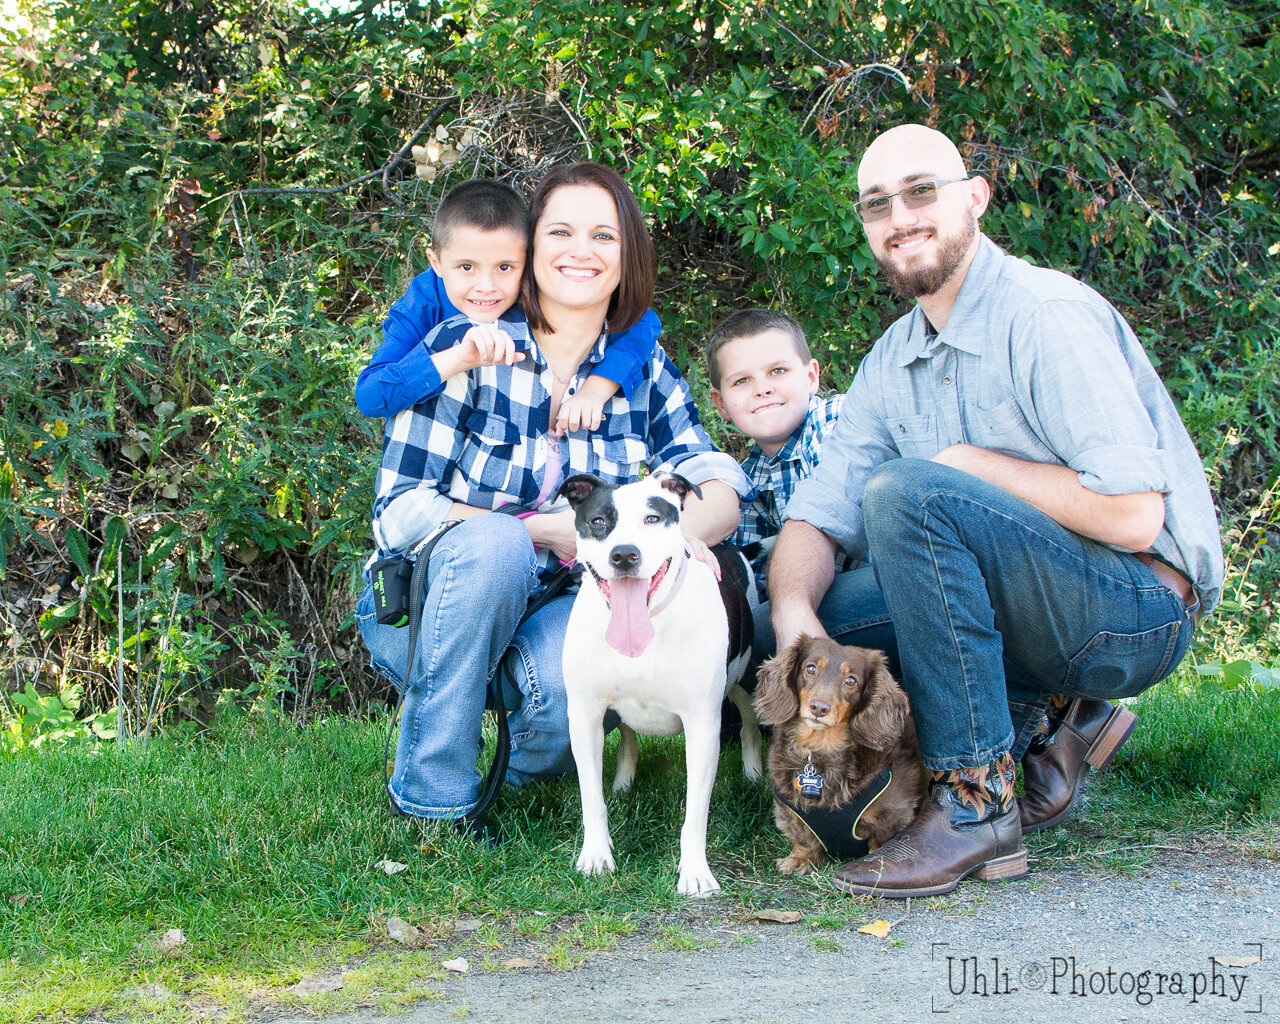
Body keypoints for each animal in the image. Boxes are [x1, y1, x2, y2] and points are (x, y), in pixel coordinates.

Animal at [560, 471, 757, 896]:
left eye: (652, 518)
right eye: (598, 521)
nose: (624, 555)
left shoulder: (703, 726)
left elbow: (696, 811)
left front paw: (695, 872)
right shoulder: (584, 716)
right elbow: (591, 797)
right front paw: (596, 855)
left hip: (750, 675)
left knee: (751, 721)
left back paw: (754, 774)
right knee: (629, 735)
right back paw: (623, 782)